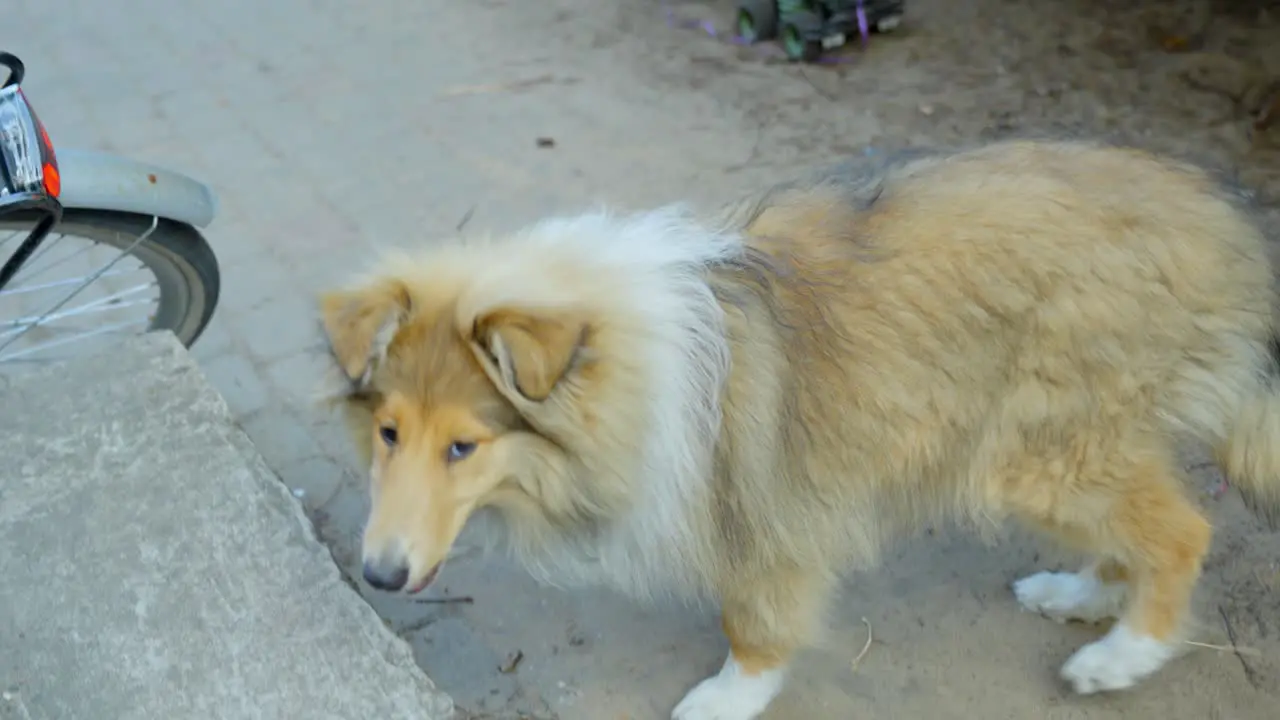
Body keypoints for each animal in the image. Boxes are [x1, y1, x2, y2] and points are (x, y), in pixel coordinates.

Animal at [314, 140, 1280, 717]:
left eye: (464, 447)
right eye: (388, 433)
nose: (380, 575)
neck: (623, 363)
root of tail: (1226, 225)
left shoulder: (760, 500)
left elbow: (753, 618)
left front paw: (726, 697)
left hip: (1041, 446)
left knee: (1181, 531)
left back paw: (1122, 656)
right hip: (1073, 439)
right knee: (1135, 531)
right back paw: (1077, 594)